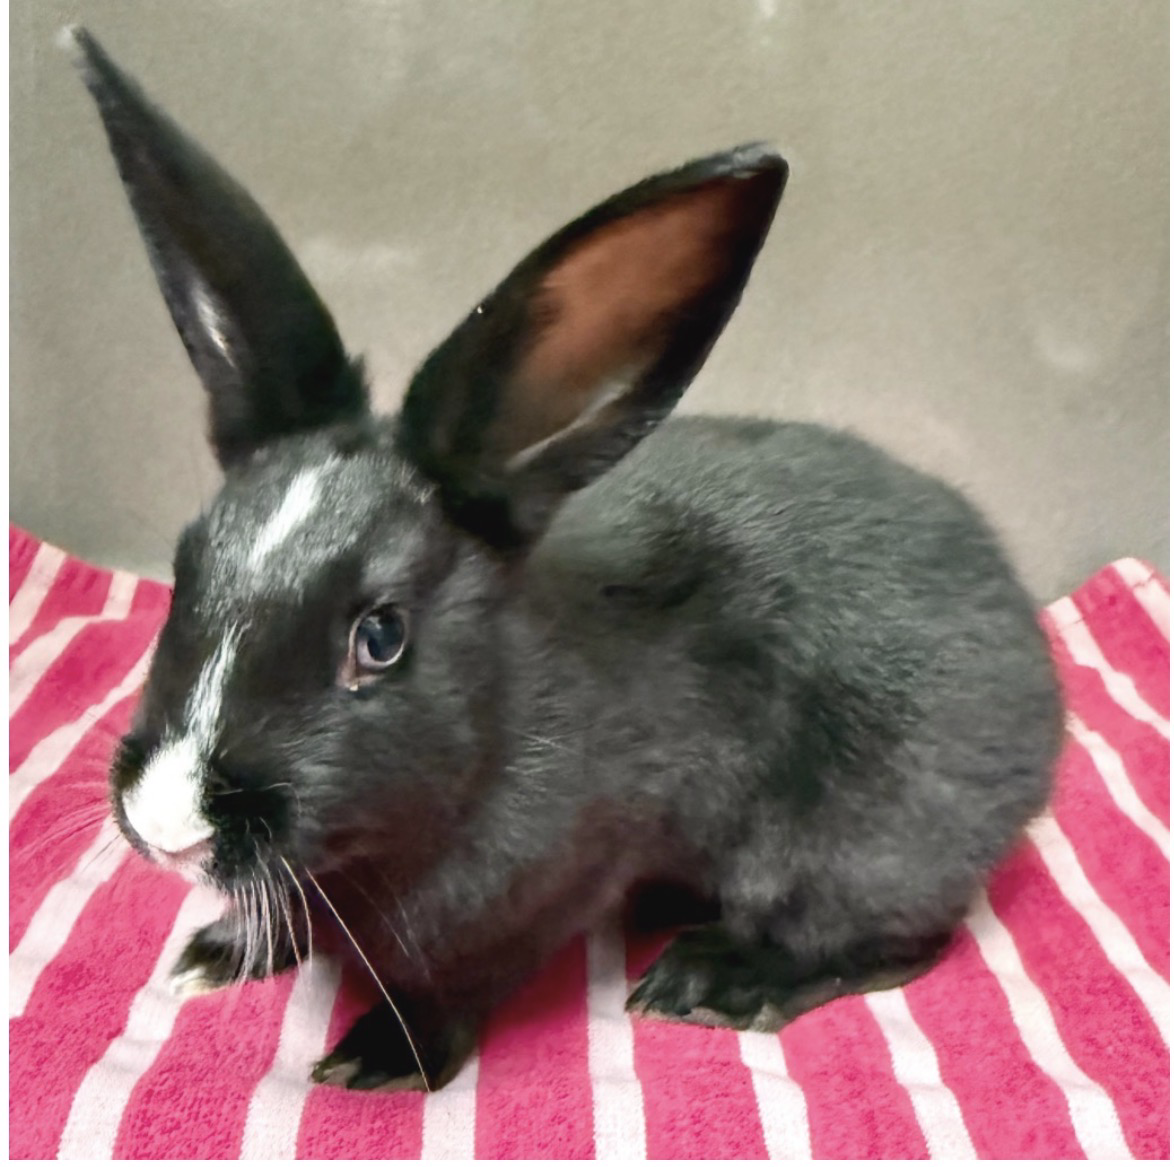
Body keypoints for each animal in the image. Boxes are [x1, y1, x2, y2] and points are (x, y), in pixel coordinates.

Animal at [66, 25, 1062, 1092]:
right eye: (185, 564)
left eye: (380, 636)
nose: (165, 824)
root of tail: (1039, 681)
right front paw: (214, 951)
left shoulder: (546, 890)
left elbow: (455, 990)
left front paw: (379, 1057)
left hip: (860, 850)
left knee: (901, 941)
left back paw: (709, 979)